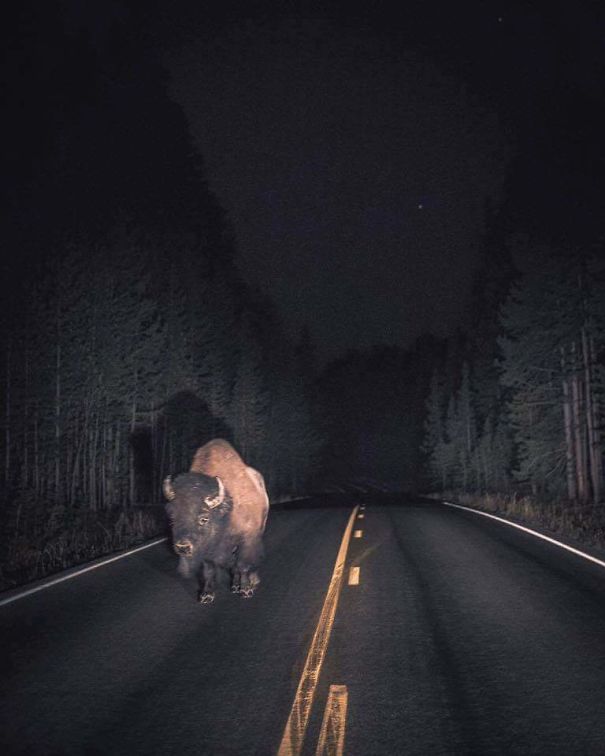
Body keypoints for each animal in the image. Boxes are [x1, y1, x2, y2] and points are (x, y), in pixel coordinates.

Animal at [164, 438, 270, 604]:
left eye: (204, 518)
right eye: (172, 516)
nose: (183, 547)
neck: (226, 511)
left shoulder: (246, 540)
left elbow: (243, 565)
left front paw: (246, 590)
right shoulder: (208, 549)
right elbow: (209, 570)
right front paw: (206, 595)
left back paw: (249, 582)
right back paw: (234, 586)